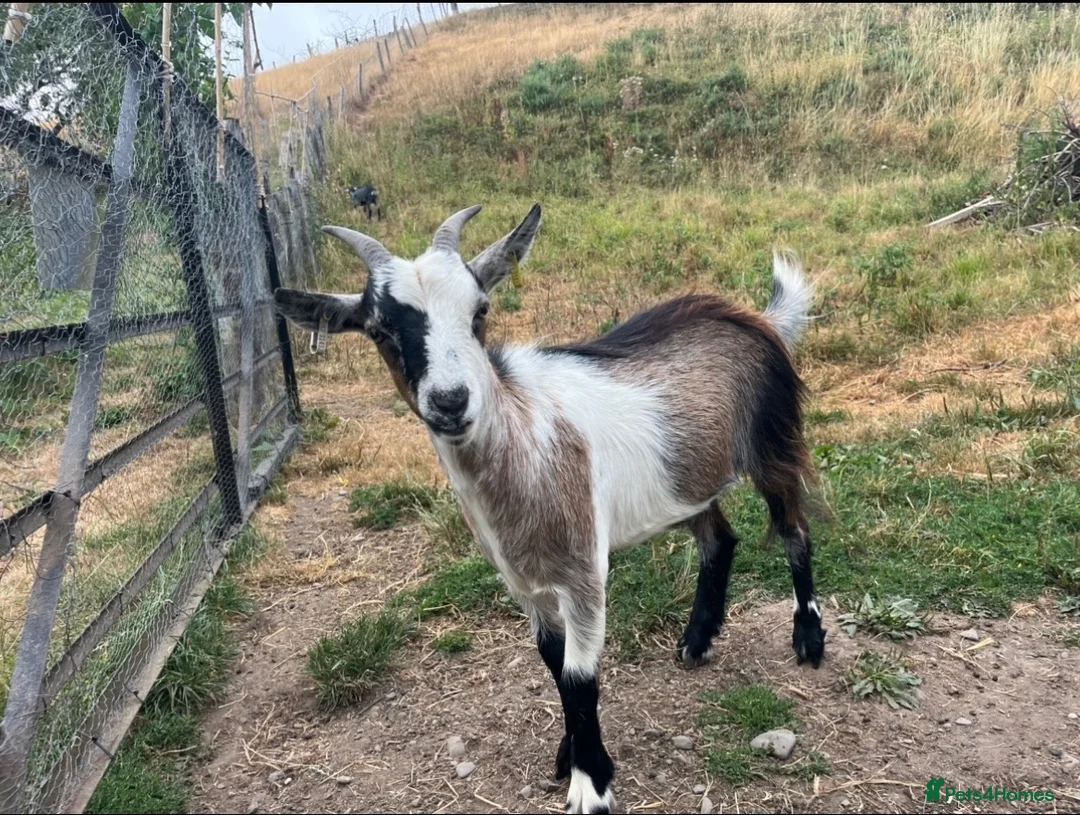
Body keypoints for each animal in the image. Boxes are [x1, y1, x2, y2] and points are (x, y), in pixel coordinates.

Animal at [273, 205, 826, 814]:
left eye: (480, 311)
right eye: (378, 329)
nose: (450, 401)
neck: (525, 440)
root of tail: (756, 318)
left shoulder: (582, 570)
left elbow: (580, 676)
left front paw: (592, 784)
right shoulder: (524, 582)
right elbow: (553, 666)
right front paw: (569, 754)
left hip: (773, 443)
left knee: (794, 528)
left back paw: (808, 638)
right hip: (682, 481)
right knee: (720, 539)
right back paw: (697, 640)